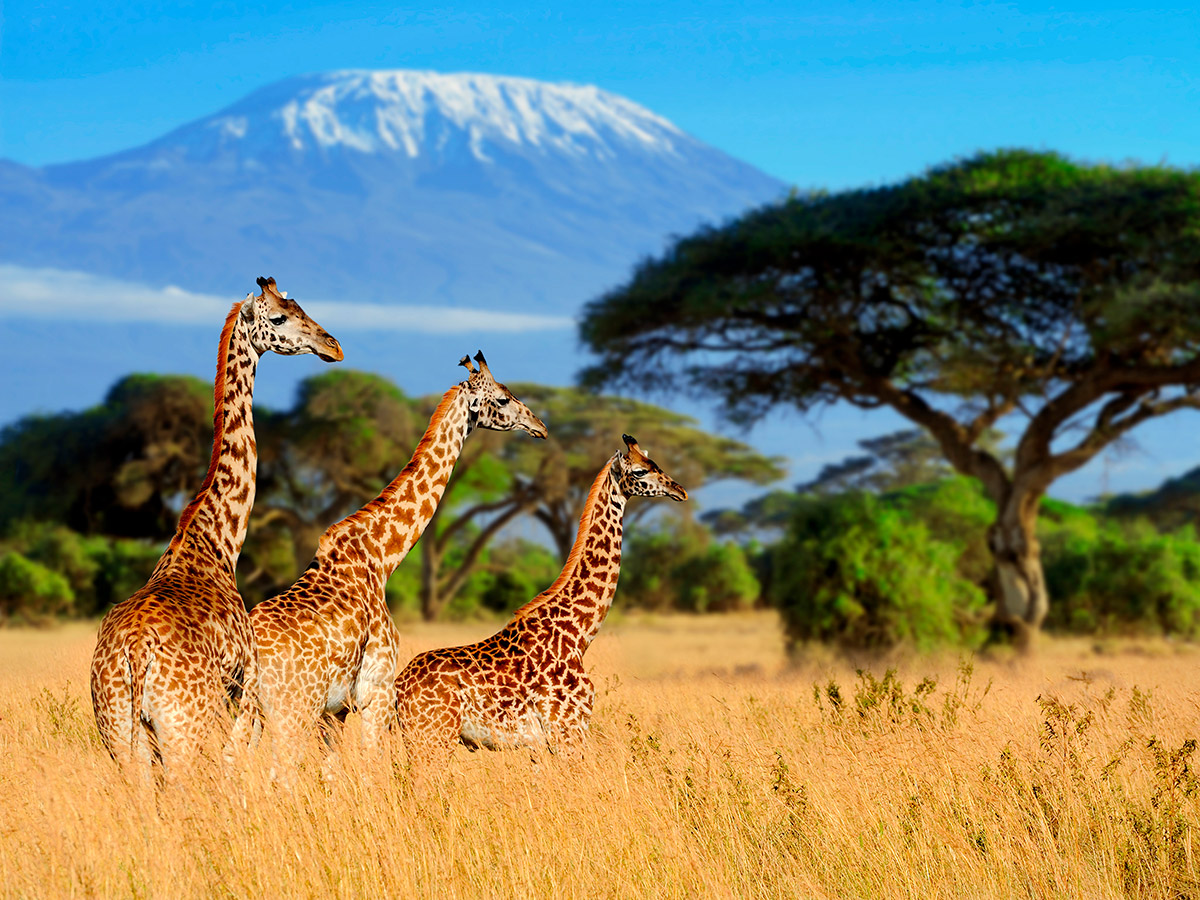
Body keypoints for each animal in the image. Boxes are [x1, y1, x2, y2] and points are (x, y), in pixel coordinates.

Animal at [90, 278, 338, 777]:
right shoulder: (245, 687)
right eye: (280, 317)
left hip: (119, 732)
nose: (332, 346)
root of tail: (135, 653)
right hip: (183, 727)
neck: (218, 541)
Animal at [238, 352, 549, 768]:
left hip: (249, 711)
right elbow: (372, 766)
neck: (382, 557)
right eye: (502, 398)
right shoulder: (377, 691)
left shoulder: (336, 710)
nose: (540, 427)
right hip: (292, 709)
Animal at [396, 434, 686, 763]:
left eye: (654, 463)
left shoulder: (542, 745)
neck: (580, 632)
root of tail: (398, 688)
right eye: (639, 471)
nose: (680, 490)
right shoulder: (568, 730)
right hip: (432, 738)